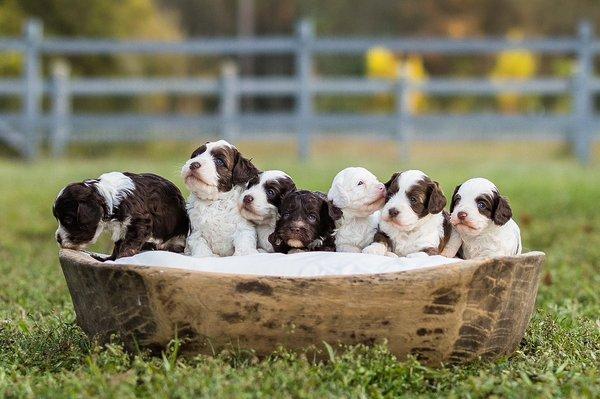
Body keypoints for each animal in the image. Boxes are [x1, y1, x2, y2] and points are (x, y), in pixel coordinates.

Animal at [54, 171, 190, 260]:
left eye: (68, 219)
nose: (58, 239)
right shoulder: (121, 229)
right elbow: (119, 245)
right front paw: (109, 259)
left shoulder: (140, 221)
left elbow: (129, 243)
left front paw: (122, 257)